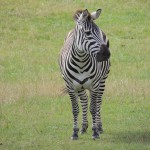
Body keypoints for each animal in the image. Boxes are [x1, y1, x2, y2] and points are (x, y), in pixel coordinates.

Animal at [59, 8, 110, 139]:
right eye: (87, 33)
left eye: (98, 33)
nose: (106, 54)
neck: (80, 62)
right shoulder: (70, 86)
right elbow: (75, 109)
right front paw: (75, 133)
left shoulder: (95, 85)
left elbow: (93, 107)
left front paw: (95, 132)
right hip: (80, 86)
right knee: (84, 101)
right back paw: (83, 127)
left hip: (102, 80)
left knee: (98, 102)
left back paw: (99, 126)